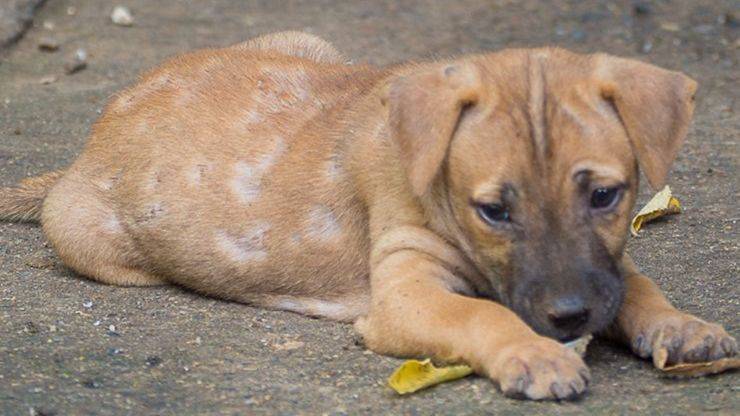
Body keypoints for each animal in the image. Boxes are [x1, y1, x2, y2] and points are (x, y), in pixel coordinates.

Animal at [1, 32, 736, 400]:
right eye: (493, 210)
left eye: (605, 196)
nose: (569, 318)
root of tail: (89, 141)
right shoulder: (406, 291)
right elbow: (481, 313)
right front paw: (533, 355)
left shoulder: (609, 263)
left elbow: (637, 287)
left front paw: (682, 325)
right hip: (92, 243)